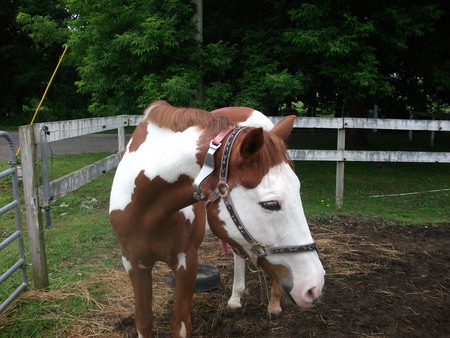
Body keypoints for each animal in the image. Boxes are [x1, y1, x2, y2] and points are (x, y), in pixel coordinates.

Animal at [110, 101, 326, 338]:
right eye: (270, 204)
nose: (314, 287)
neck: (147, 210)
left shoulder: (187, 261)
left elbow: (180, 323)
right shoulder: (133, 262)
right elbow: (143, 320)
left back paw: (273, 305)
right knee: (239, 254)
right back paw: (235, 298)